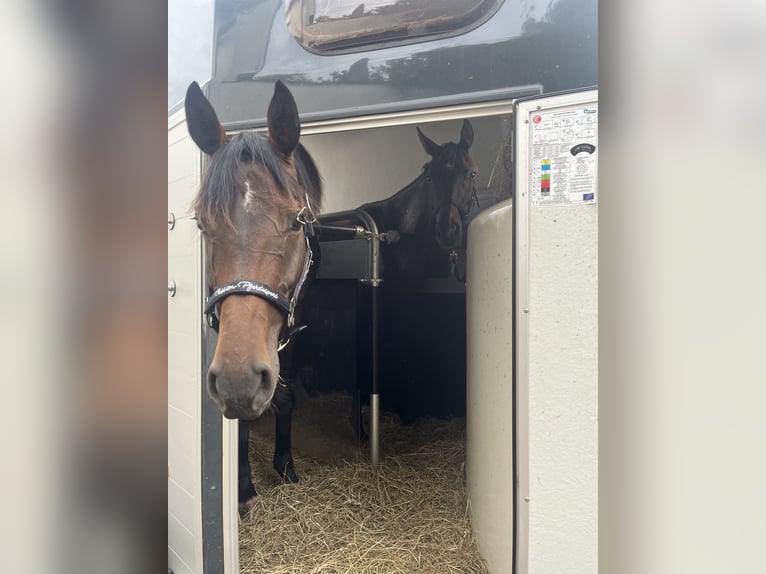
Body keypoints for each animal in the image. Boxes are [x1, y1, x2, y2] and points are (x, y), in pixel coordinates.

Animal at [188, 81, 322, 512]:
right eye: (203, 224)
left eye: (298, 221)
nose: (238, 379)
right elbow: (243, 422)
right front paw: (245, 490)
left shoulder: (296, 320)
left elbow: (287, 394)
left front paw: (286, 467)